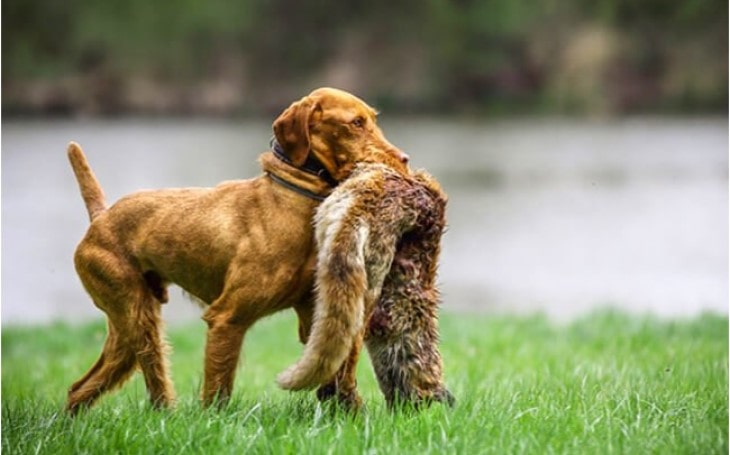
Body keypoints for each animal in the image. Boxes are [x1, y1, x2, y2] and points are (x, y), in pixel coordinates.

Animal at [64, 87, 406, 416]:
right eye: (356, 123)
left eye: (373, 118)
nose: (403, 159)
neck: (292, 198)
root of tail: (101, 217)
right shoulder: (227, 318)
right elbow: (218, 389)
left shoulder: (317, 319)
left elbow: (336, 373)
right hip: (139, 319)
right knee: (153, 381)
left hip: (126, 327)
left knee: (80, 387)